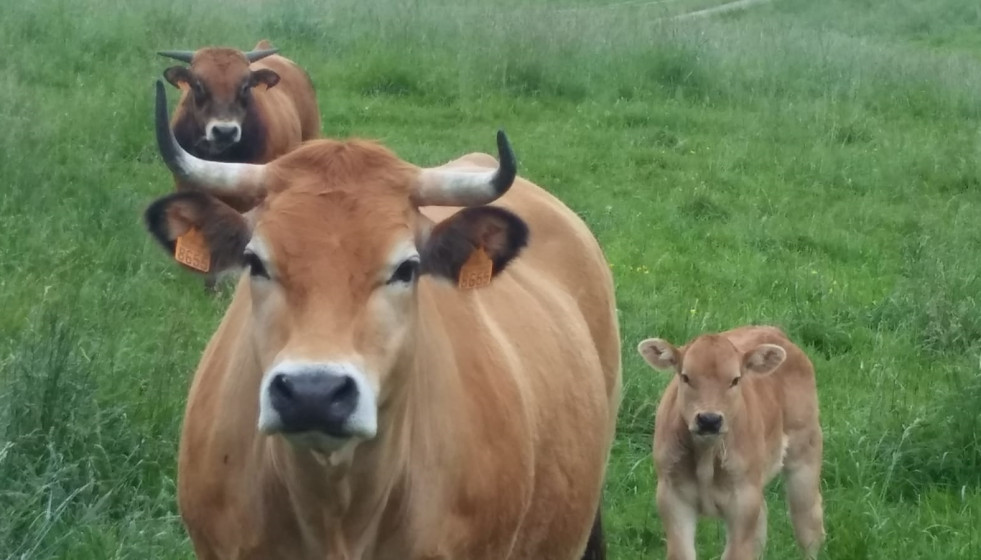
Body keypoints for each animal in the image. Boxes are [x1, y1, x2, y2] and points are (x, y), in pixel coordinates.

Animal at [637, 326, 824, 560]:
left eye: (735, 380)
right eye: (686, 377)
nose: (709, 420)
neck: (707, 456)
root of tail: (772, 329)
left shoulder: (743, 502)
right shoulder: (672, 496)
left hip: (805, 449)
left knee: (807, 519)